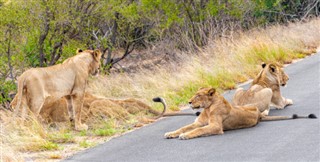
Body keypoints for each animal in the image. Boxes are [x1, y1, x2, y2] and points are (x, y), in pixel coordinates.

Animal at [164, 87, 316, 139]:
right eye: (194, 95)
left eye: (199, 95)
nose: (189, 102)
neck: (207, 108)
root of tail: (259, 115)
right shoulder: (198, 122)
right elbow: (183, 127)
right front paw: (171, 133)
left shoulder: (215, 127)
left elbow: (198, 130)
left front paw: (185, 135)